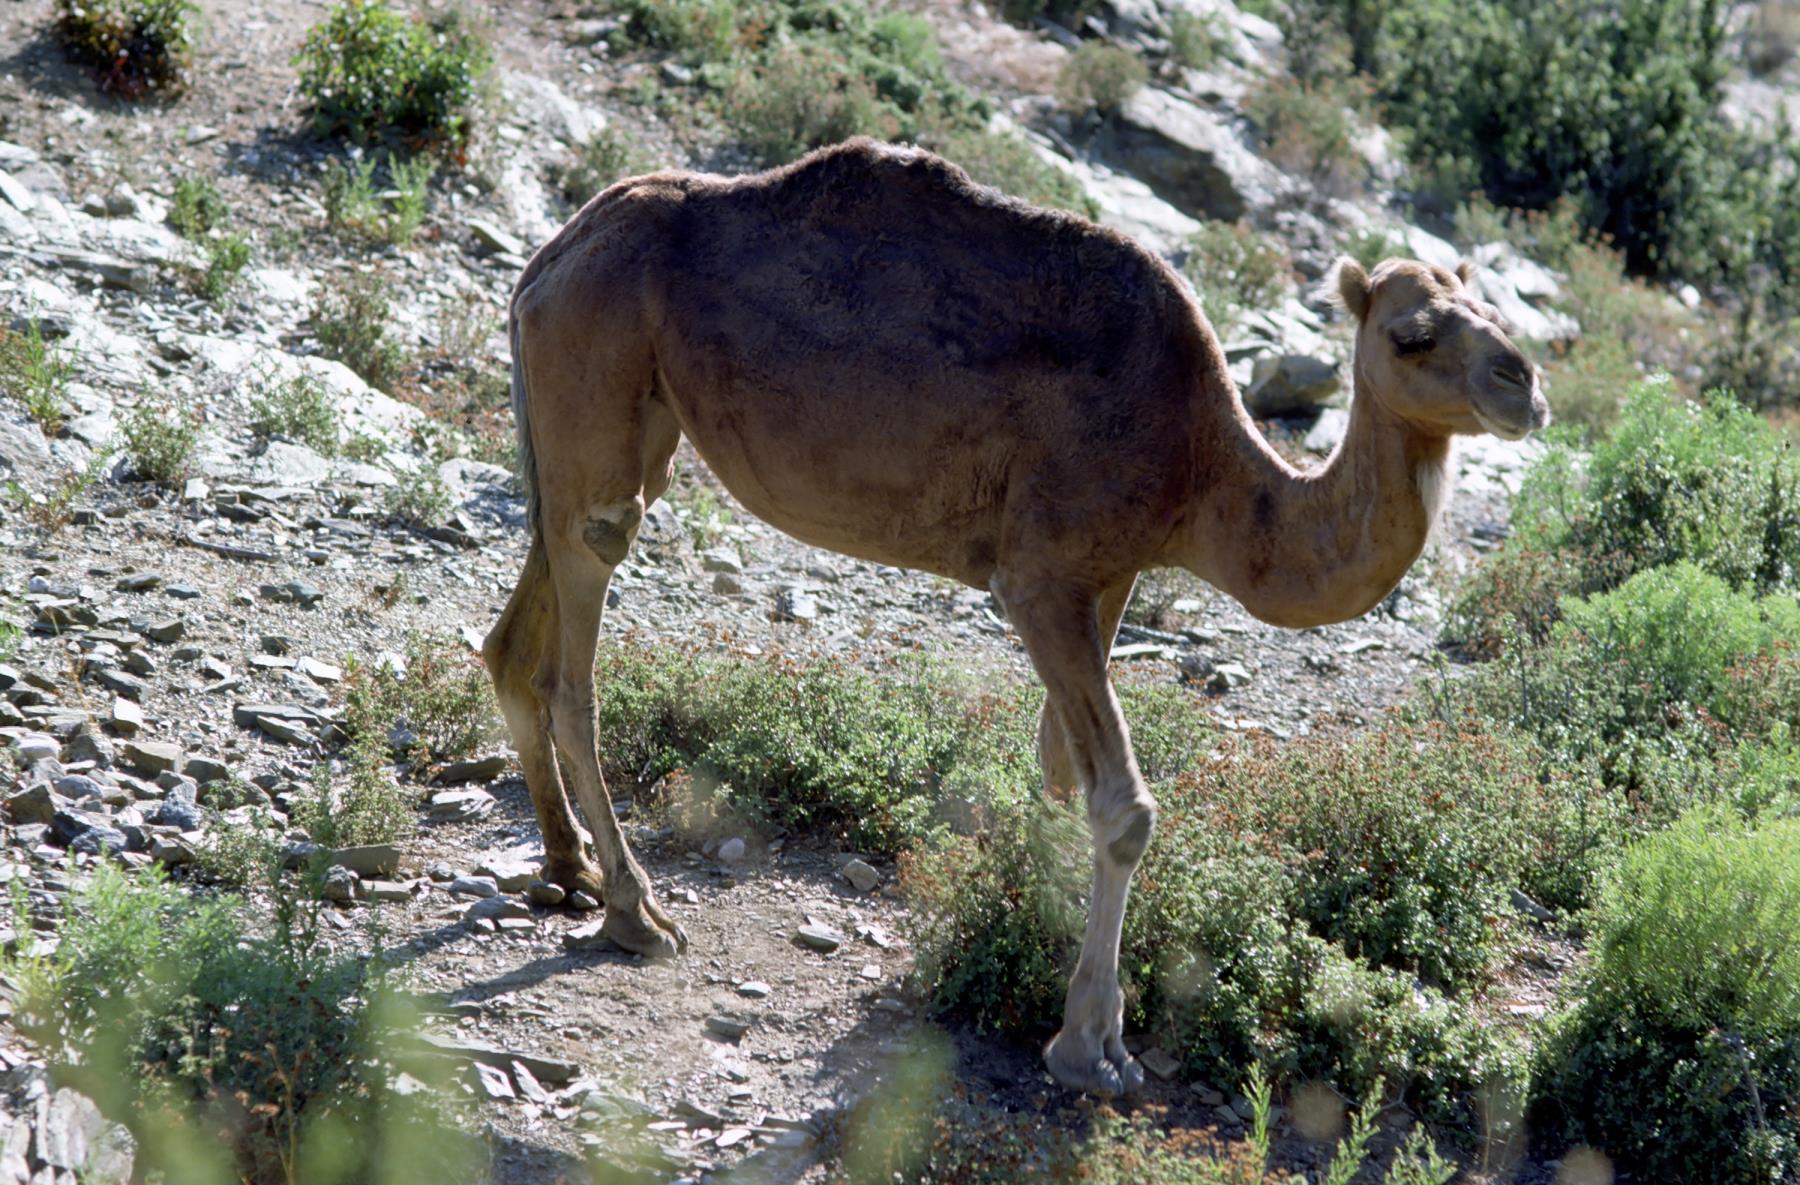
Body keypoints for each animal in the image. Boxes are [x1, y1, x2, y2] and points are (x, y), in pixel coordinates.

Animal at [481, 137, 1549, 1097]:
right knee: (576, 649)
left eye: (1494, 310)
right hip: (599, 363)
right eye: (1414, 334)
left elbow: (1058, 769)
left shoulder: (1110, 573)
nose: (1524, 384)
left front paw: (1016, 931)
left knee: (517, 632)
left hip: (620, 418)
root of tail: (549, 254)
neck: (1204, 472)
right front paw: (1092, 1047)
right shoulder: (1040, 576)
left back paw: (568, 866)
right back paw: (637, 913)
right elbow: (1125, 806)